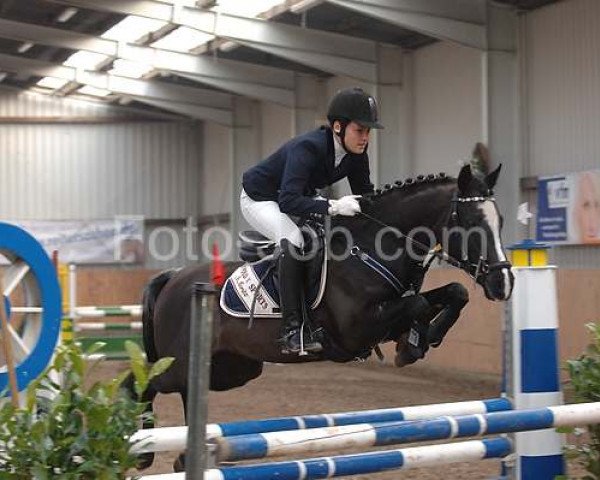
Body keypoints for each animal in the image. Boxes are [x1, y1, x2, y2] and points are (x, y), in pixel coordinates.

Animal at [131, 164, 516, 468]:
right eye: (470, 222)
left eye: (500, 220)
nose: (504, 282)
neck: (372, 247)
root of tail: (174, 277)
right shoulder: (358, 328)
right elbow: (419, 305)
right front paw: (413, 344)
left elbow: (454, 292)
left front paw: (417, 342)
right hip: (180, 362)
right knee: (142, 382)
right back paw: (141, 449)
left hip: (232, 370)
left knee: (185, 394)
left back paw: (181, 455)